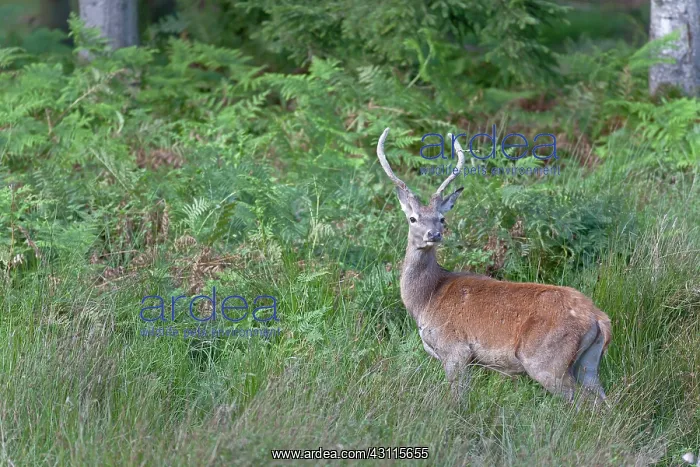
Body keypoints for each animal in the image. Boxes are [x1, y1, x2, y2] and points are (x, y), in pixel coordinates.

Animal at [376, 127, 612, 405]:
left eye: (442, 218)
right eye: (413, 218)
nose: (433, 234)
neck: (425, 300)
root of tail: (599, 318)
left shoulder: (455, 349)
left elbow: (457, 399)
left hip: (546, 361)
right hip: (589, 364)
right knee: (604, 402)